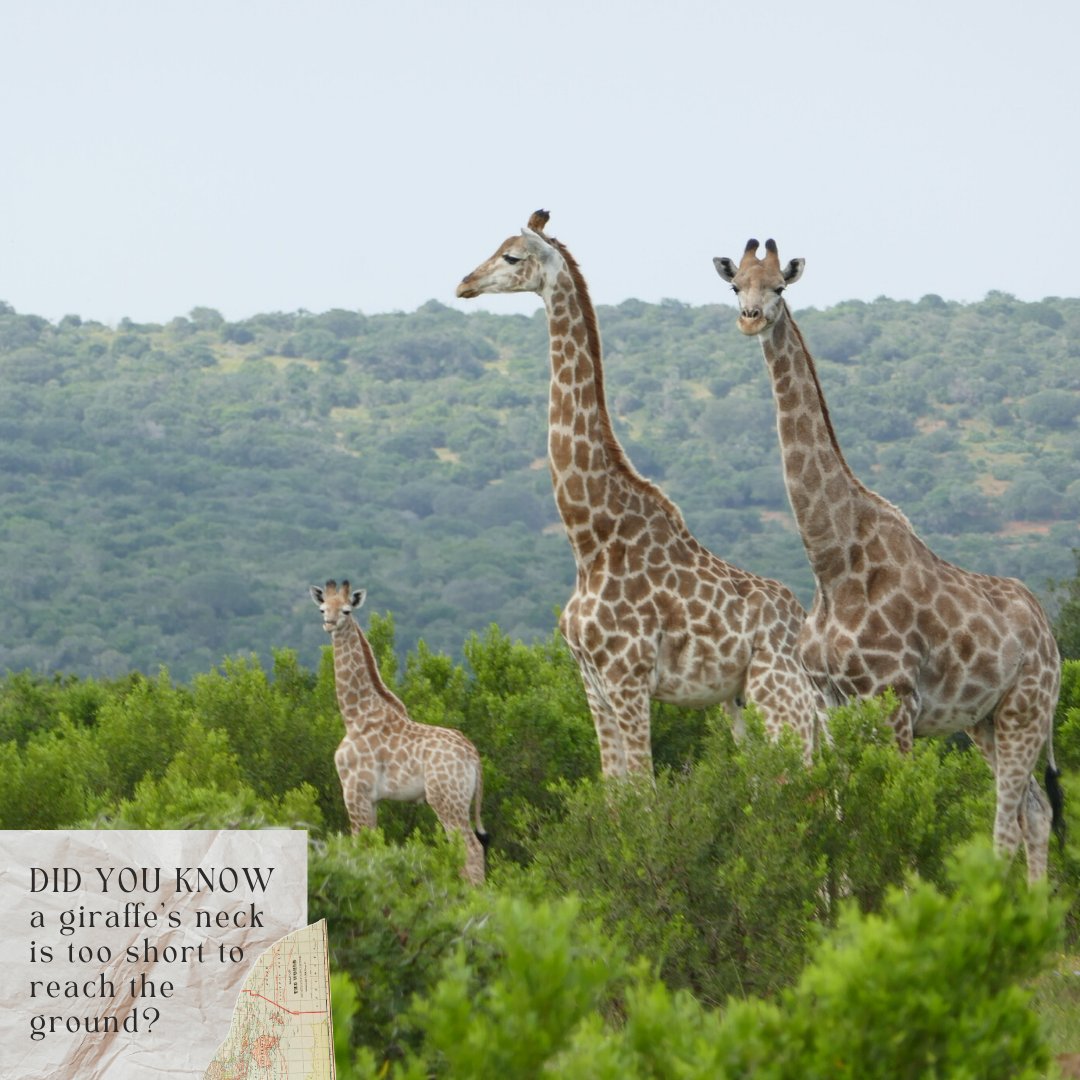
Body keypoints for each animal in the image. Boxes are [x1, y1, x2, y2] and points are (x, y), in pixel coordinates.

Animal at [309, 580, 488, 884]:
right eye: (323, 608)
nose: (329, 623)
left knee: (471, 849)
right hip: (460, 801)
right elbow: (372, 847)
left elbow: (359, 846)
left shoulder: (354, 791)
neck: (355, 715)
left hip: (446, 799)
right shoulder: (372, 799)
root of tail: (473, 756)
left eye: (346, 611)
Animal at [456, 210, 826, 776]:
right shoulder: (591, 683)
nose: (464, 284)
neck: (590, 537)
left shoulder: (627, 678)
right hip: (739, 701)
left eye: (511, 256)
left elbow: (644, 790)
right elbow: (613, 788)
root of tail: (802, 624)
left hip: (781, 692)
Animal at [713, 238, 1065, 881]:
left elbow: (891, 820)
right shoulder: (832, 707)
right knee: (1034, 809)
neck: (832, 561)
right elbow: (842, 817)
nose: (750, 319)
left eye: (779, 286)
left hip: (1027, 708)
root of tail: (1050, 635)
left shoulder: (894, 702)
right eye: (735, 286)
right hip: (983, 719)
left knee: (1008, 818)